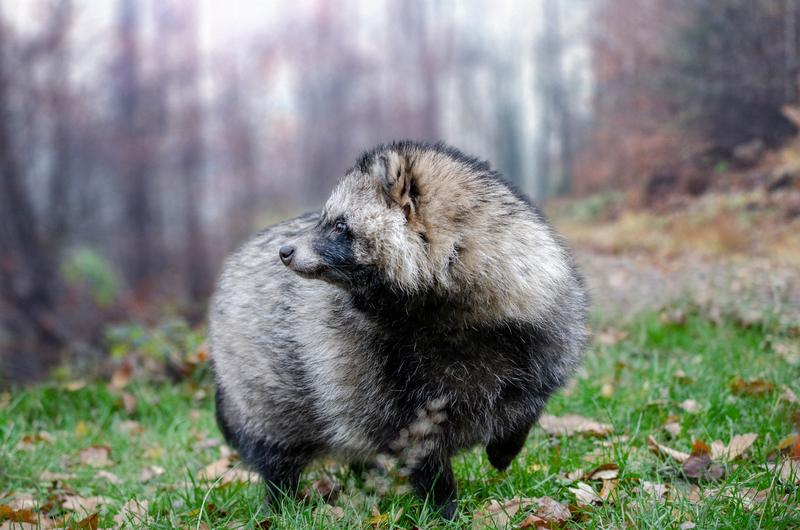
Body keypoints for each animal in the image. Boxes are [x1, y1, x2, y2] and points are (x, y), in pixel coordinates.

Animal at [211, 139, 588, 516]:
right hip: (262, 384)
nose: (285, 251)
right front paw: (443, 505)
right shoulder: (377, 365)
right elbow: (415, 441)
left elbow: (531, 398)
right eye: (326, 220)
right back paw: (280, 499)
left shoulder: (536, 330)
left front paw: (508, 444)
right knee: (278, 446)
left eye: (338, 225)